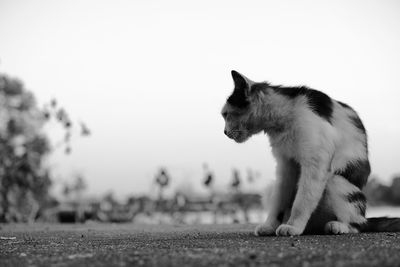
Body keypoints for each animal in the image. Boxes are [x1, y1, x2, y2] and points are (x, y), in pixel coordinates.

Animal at [222, 70, 400, 237]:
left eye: (225, 114)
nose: (224, 132)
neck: (282, 119)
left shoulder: (316, 163)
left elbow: (302, 201)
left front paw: (293, 226)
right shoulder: (285, 166)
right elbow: (279, 202)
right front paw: (270, 225)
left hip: (336, 181)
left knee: (358, 225)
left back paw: (338, 226)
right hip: (270, 187)